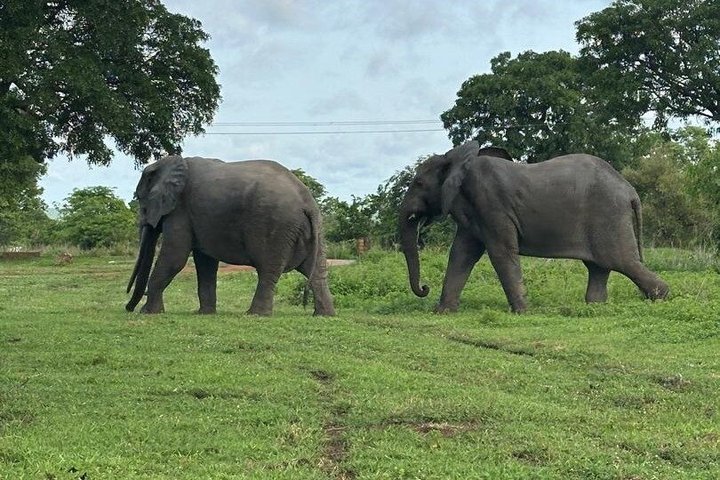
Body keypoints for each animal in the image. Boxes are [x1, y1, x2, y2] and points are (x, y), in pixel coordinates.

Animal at [125, 155, 335, 316]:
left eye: (141, 202)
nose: (128, 308)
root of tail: (307, 202)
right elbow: (205, 262)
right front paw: (204, 314)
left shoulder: (180, 211)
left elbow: (175, 257)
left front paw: (148, 313)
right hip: (313, 229)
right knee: (316, 271)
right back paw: (324, 315)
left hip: (276, 227)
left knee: (268, 269)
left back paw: (255, 315)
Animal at [399, 141, 669, 313]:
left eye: (418, 183)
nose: (424, 288)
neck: (457, 159)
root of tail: (630, 191)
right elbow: (461, 254)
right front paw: (442, 312)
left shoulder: (491, 203)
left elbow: (501, 252)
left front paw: (522, 312)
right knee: (599, 267)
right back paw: (595, 306)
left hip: (609, 217)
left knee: (623, 262)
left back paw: (661, 296)